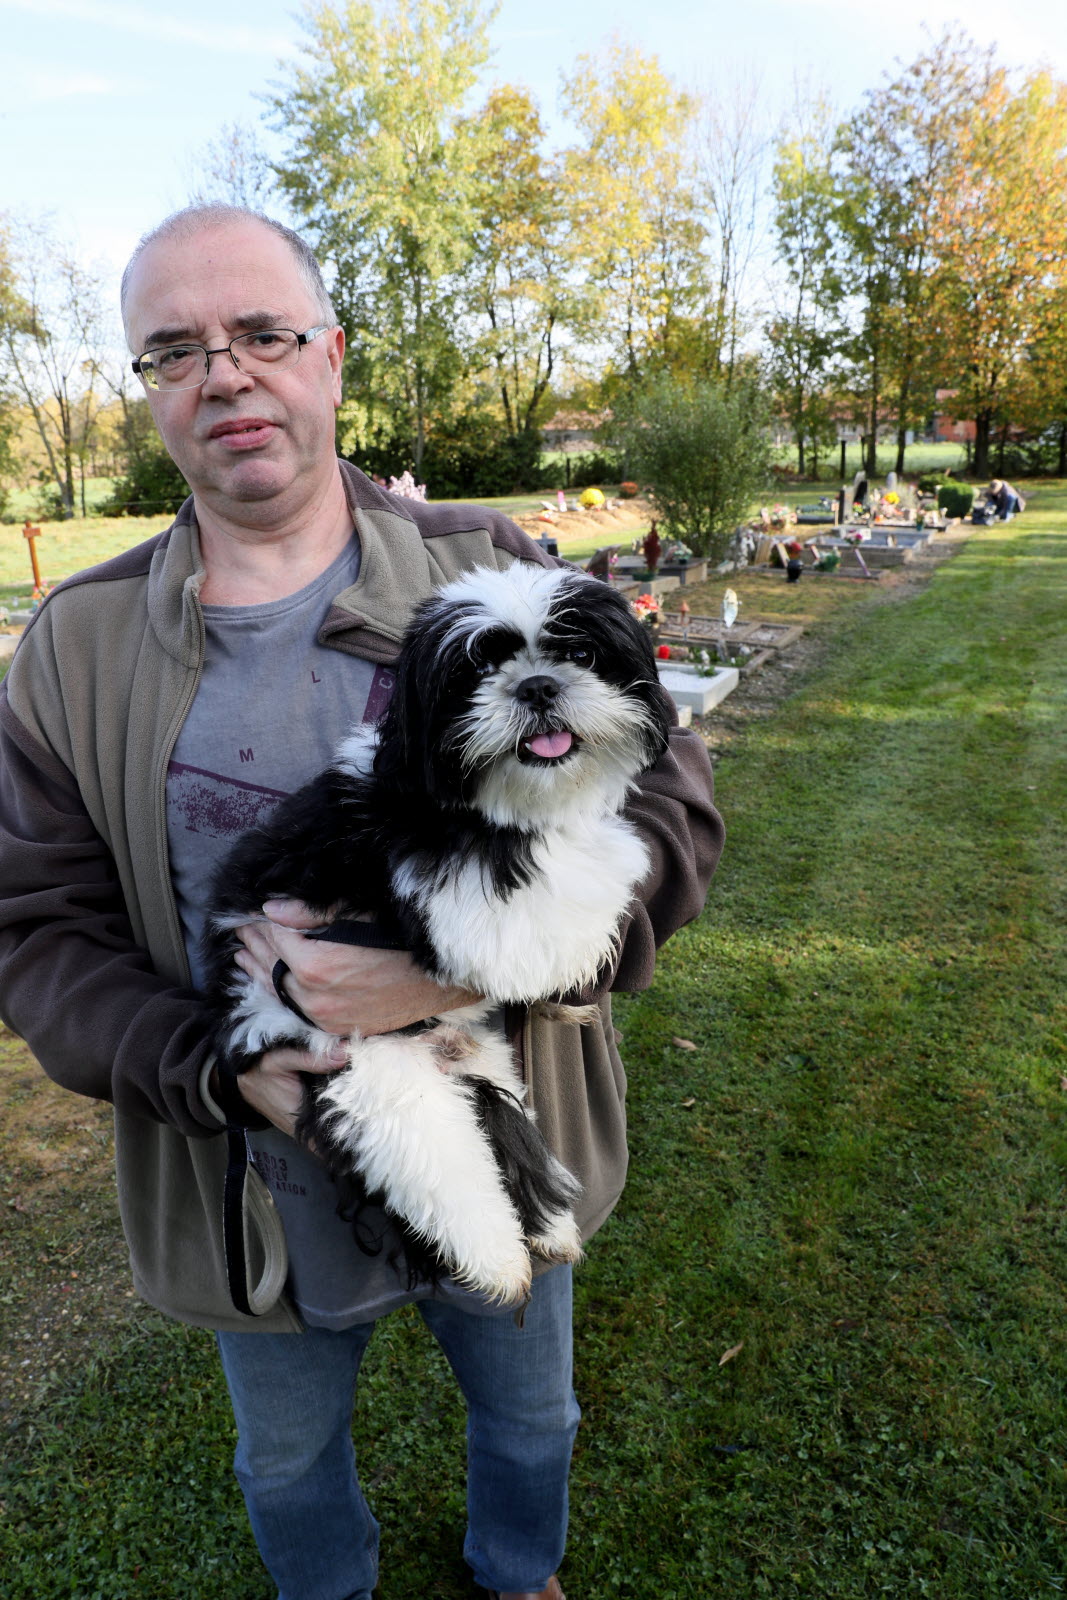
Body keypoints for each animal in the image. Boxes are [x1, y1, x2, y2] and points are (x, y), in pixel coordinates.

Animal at [203, 560, 671, 1299]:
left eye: (580, 653)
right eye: (474, 671)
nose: (537, 685)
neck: (505, 807)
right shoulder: (458, 908)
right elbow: (552, 920)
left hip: (481, 1063)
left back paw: (546, 1226)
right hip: (359, 1061)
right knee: (429, 1150)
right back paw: (497, 1257)